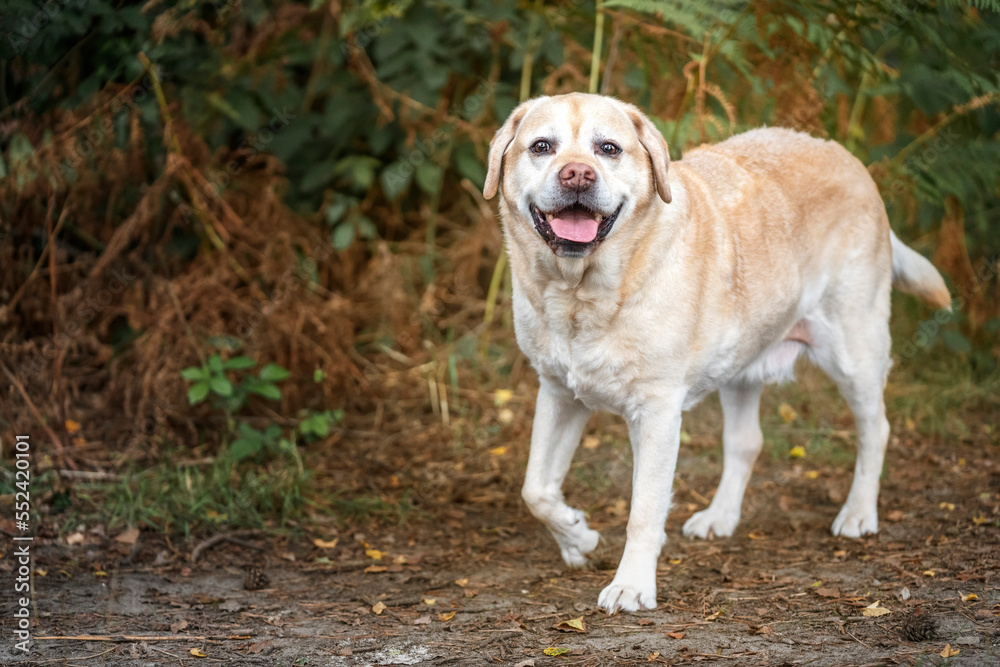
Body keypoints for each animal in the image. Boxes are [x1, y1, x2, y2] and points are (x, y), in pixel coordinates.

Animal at [484, 94, 952, 616]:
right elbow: (535, 489)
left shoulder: (657, 412)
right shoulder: (559, 393)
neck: (582, 295)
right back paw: (720, 516)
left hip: (855, 349)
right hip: (741, 365)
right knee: (746, 442)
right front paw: (577, 538)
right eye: (541, 146)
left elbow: (644, 509)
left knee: (877, 429)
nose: (578, 175)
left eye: (608, 148)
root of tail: (846, 156)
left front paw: (631, 586)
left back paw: (858, 514)